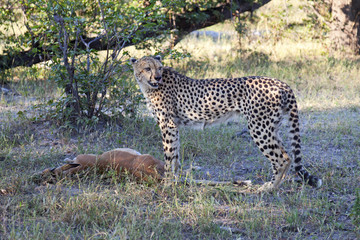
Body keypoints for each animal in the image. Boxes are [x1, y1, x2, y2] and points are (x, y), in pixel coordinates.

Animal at [131, 55, 322, 190]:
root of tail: (281, 83)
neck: (149, 86)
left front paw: (168, 184)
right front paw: (175, 181)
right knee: (285, 155)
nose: (157, 77)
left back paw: (269, 188)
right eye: (147, 68)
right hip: (271, 127)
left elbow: (169, 155)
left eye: (159, 68)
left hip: (259, 127)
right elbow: (175, 156)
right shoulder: (174, 126)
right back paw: (275, 184)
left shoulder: (167, 125)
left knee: (282, 158)